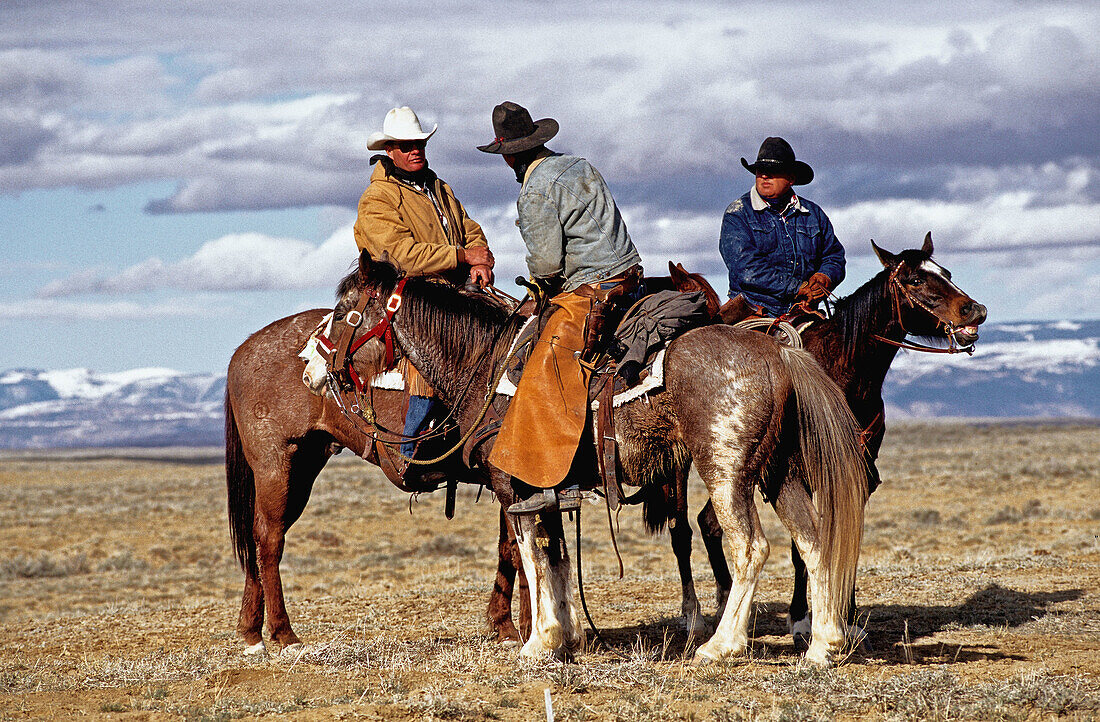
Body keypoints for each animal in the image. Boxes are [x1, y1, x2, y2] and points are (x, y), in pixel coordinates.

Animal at [316, 252, 866, 664]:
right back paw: (824, 643)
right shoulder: (549, 490)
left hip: (726, 472)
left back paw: (721, 645)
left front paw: (539, 641)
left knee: (751, 546)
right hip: (781, 473)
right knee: (812, 541)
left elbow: (532, 556)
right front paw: (568, 636)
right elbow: (556, 557)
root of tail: (778, 353)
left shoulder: (514, 488)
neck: (486, 363)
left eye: (345, 309)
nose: (311, 366)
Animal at [686, 234, 990, 647]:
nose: (975, 311)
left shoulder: (856, 474)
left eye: (947, 273)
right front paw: (802, 621)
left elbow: (847, 541)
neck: (845, 376)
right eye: (914, 280)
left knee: (709, 522)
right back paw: (710, 615)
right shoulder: (798, 473)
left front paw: (849, 620)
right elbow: (804, 547)